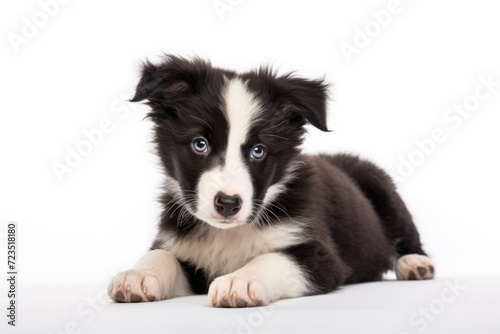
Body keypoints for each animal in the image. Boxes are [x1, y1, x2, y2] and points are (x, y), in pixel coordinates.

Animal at [108, 55, 434, 308]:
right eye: (200, 145)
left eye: (258, 151)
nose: (228, 204)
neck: (231, 232)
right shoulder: (182, 246)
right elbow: (162, 255)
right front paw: (137, 275)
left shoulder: (322, 257)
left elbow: (274, 259)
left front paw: (240, 280)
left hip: (380, 184)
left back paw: (414, 264)